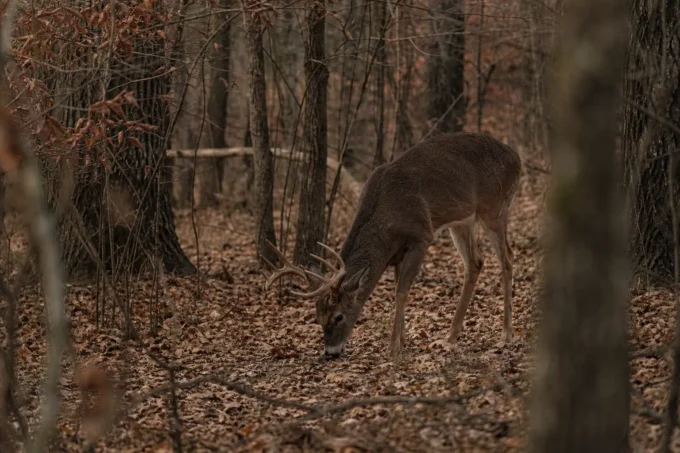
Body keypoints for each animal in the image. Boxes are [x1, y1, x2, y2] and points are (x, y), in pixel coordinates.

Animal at [263, 132, 522, 360]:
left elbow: (401, 291)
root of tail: (516, 158)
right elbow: (399, 287)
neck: (387, 216)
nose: (330, 353)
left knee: (507, 258)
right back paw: (450, 337)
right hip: (461, 219)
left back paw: (506, 335)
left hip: (494, 207)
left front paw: (393, 348)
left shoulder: (421, 236)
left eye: (338, 317)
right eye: (318, 317)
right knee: (476, 262)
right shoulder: (397, 251)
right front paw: (403, 341)